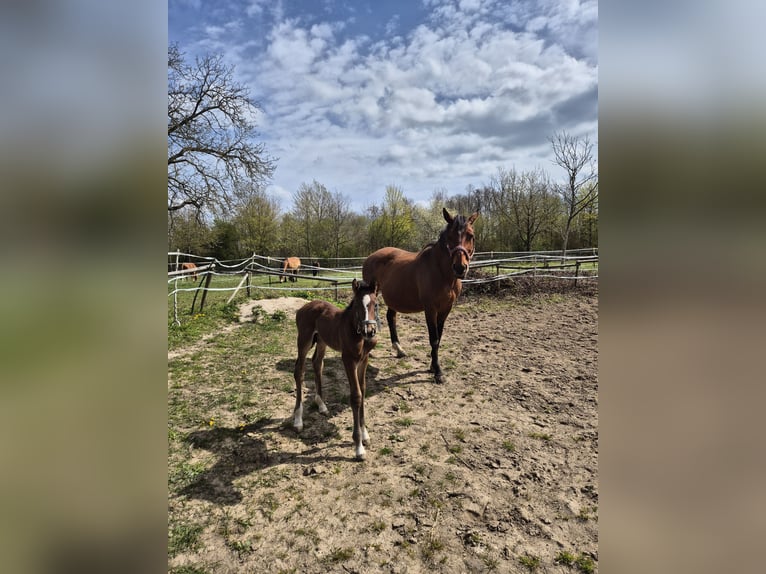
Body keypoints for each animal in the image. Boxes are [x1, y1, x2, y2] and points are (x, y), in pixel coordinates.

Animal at [292, 279, 378, 461]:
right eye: (357, 305)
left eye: (375, 304)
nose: (369, 331)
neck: (356, 331)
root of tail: (305, 306)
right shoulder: (348, 360)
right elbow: (356, 396)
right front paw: (358, 447)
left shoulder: (364, 360)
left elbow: (363, 390)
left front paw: (365, 434)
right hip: (304, 341)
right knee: (299, 371)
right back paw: (298, 420)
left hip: (321, 340)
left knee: (317, 363)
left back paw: (321, 405)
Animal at [362, 208, 478, 384]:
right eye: (449, 237)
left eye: (470, 235)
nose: (460, 268)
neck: (442, 273)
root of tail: (371, 256)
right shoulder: (430, 309)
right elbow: (434, 339)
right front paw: (438, 372)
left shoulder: (446, 309)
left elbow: (439, 336)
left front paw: (432, 366)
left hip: (394, 298)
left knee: (391, 317)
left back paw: (399, 349)